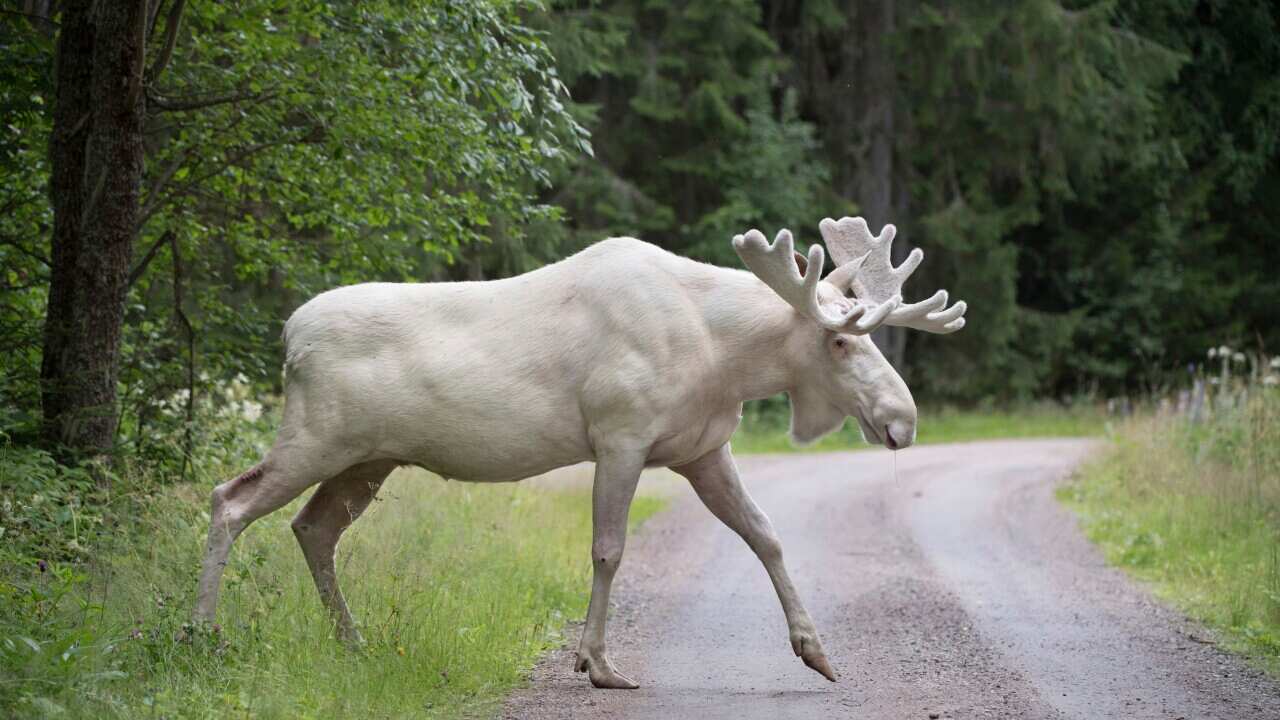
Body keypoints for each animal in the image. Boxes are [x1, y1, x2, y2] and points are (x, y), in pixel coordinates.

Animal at [193, 216, 966, 689]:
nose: (902, 420)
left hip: (368, 458)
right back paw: (201, 634)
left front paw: (816, 650)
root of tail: (289, 336)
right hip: (318, 436)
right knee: (229, 500)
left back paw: (351, 642)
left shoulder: (702, 449)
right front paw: (596, 662)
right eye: (838, 340)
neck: (723, 357)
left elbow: (767, 535)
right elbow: (608, 549)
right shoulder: (620, 434)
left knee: (312, 527)